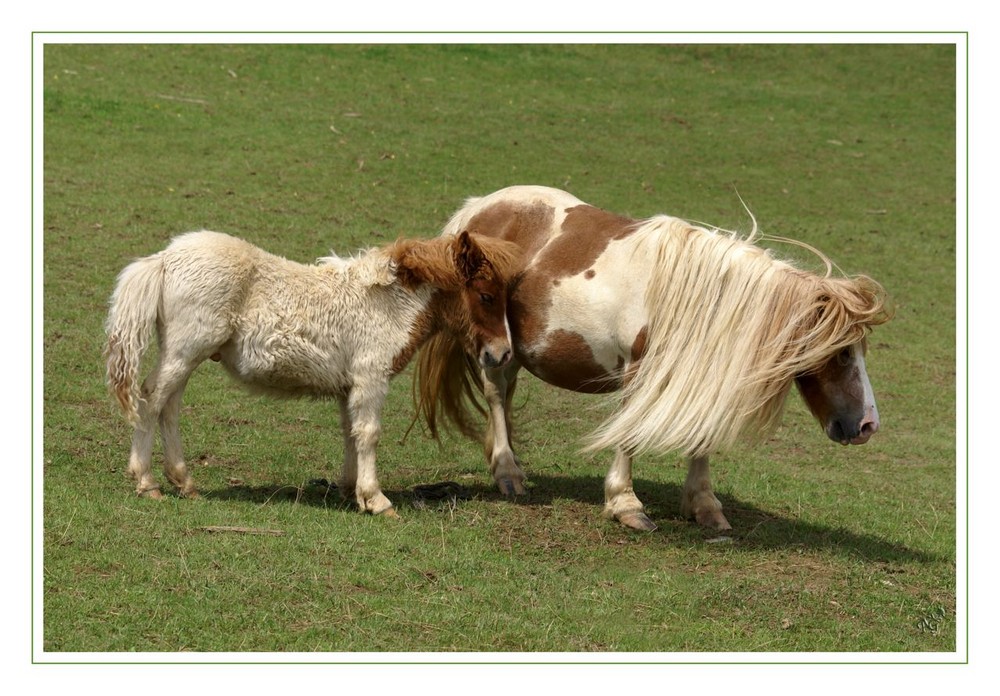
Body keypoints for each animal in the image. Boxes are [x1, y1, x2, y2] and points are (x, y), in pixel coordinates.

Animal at [106, 230, 520, 516]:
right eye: (486, 296)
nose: (502, 353)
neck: (387, 305)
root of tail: (164, 259)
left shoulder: (349, 386)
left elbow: (351, 433)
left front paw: (351, 490)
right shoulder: (371, 378)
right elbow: (369, 433)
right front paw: (376, 499)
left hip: (184, 355)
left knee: (168, 407)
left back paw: (183, 481)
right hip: (186, 351)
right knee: (151, 400)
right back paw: (146, 481)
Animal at [414, 185, 892, 528]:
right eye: (841, 352)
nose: (868, 425)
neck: (699, 300)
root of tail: (478, 209)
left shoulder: (697, 376)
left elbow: (701, 439)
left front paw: (704, 506)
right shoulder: (638, 372)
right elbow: (628, 437)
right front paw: (625, 505)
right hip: (495, 350)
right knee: (497, 397)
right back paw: (508, 473)